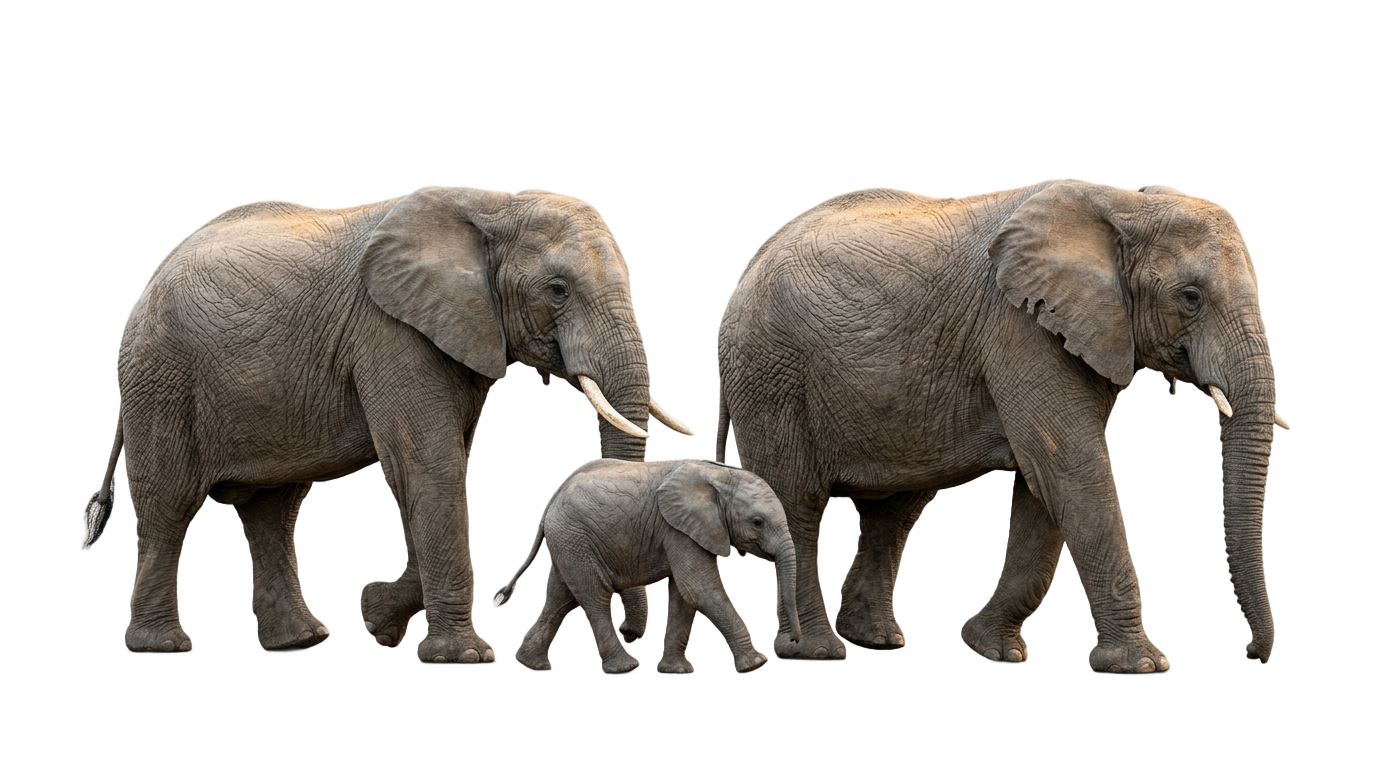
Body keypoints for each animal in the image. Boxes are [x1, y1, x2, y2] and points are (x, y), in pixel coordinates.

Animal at [81, 187, 688, 662]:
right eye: (558, 290)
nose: (634, 636)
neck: (494, 205)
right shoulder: (389, 332)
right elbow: (428, 468)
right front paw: (458, 657)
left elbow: (426, 473)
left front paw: (378, 620)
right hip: (160, 379)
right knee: (170, 505)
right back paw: (162, 648)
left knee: (272, 512)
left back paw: (300, 642)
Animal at [494, 458, 801, 673]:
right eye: (757, 522)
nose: (794, 641)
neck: (718, 475)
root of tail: (552, 499)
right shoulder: (677, 529)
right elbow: (698, 589)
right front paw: (755, 665)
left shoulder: (682, 530)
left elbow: (683, 597)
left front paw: (676, 672)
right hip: (574, 538)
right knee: (594, 596)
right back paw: (624, 668)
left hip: (568, 542)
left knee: (560, 597)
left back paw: (531, 664)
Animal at [714, 180, 1282, 673]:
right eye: (1191, 297)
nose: (1250, 656)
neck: (1124, 204)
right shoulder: (1020, 327)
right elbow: (1068, 469)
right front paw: (1140, 669)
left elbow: (1045, 486)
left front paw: (991, 650)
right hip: (770, 375)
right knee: (797, 504)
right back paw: (817, 652)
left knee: (893, 512)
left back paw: (876, 639)